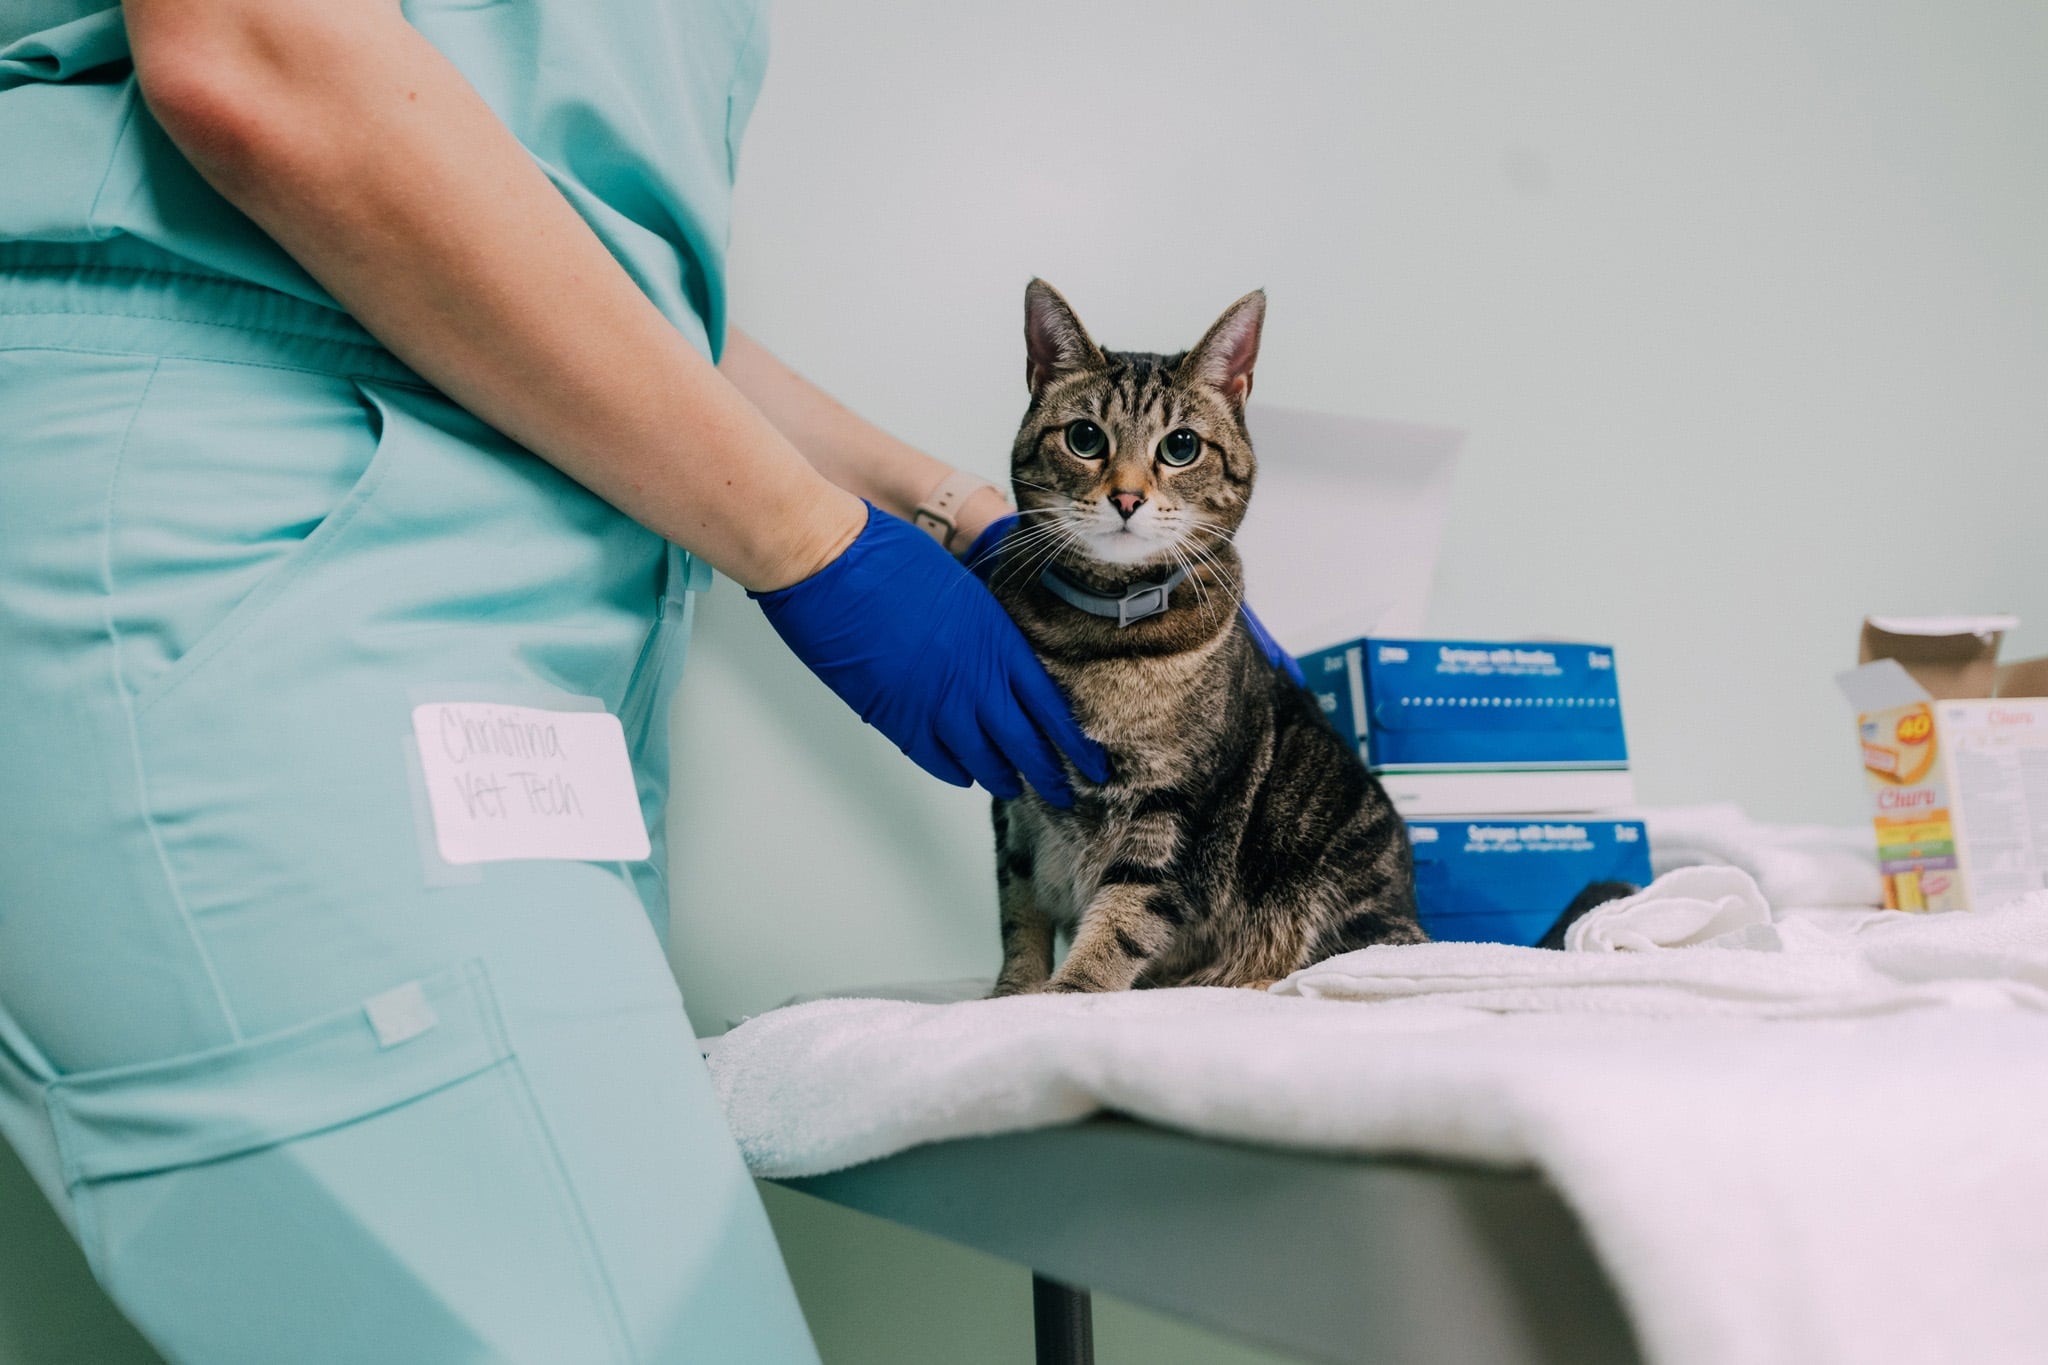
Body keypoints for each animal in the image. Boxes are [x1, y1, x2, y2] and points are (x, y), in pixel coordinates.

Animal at [983, 282, 1417, 998]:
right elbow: (1019, 911)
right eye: (1084, 437)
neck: (1101, 642)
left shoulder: (1175, 805)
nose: (1127, 497)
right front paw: (1010, 994)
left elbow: (1124, 914)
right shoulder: (1016, 792)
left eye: (1180, 446)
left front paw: (1071, 993)